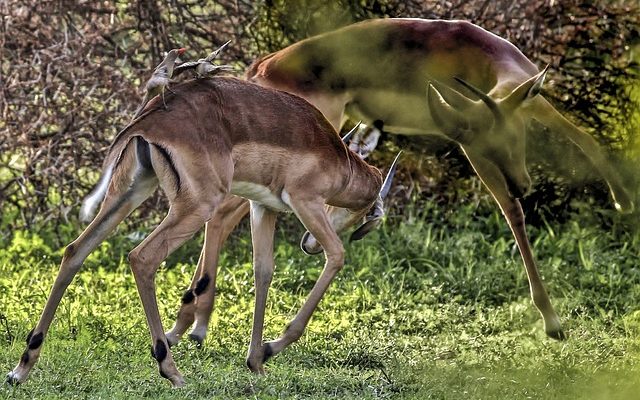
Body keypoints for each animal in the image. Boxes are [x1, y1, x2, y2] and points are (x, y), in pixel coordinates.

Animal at [7, 76, 398, 386]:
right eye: (365, 213)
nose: (307, 245)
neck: (337, 158)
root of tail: (149, 122)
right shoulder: (306, 202)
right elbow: (337, 256)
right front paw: (271, 347)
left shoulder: (263, 207)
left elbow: (263, 272)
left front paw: (257, 361)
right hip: (196, 206)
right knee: (142, 257)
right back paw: (171, 370)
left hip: (130, 192)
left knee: (76, 250)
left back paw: (21, 369)